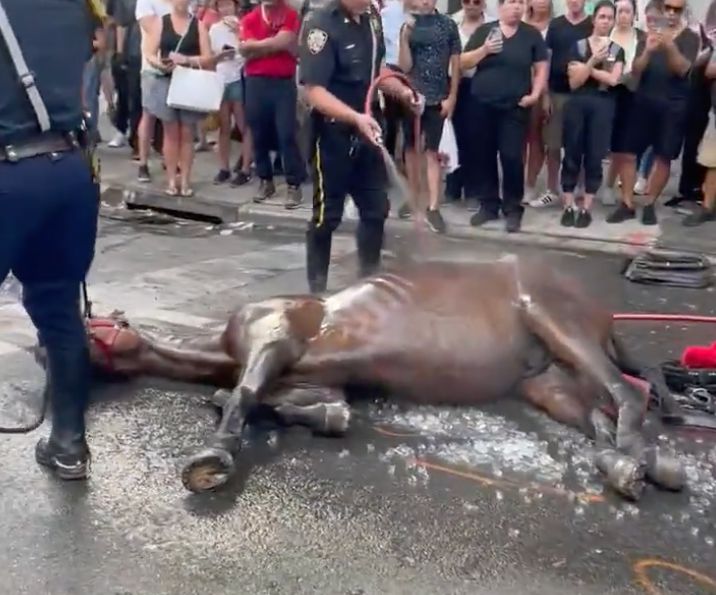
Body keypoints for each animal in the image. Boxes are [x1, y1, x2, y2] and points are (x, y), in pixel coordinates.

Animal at [84, 256, 688, 498]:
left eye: (97, 322)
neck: (219, 344)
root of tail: (604, 312)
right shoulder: (315, 383)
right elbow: (328, 411)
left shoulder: (273, 333)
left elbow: (246, 393)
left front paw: (212, 459)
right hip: (545, 381)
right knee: (596, 415)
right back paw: (629, 467)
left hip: (554, 318)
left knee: (624, 395)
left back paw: (644, 457)